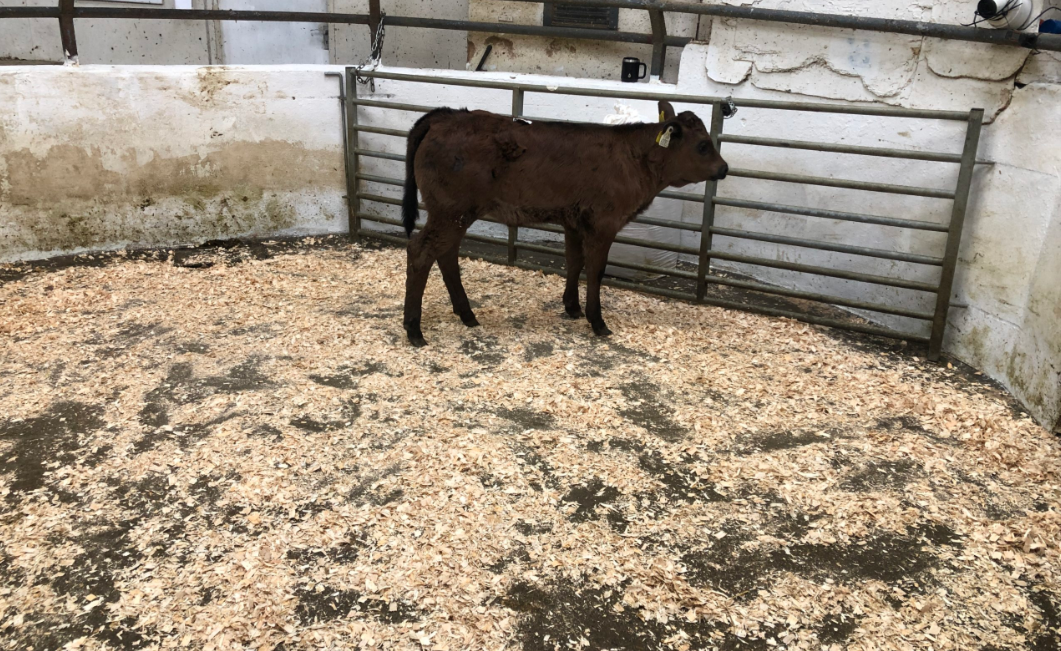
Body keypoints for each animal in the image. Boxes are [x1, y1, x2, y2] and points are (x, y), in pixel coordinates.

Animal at [399, 99, 728, 347]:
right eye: (703, 145)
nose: (724, 168)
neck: (635, 159)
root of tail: (446, 116)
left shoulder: (574, 221)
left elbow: (574, 261)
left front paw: (572, 307)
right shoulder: (604, 222)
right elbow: (595, 270)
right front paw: (597, 321)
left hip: (455, 214)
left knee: (446, 255)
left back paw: (466, 314)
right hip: (450, 211)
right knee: (420, 251)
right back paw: (414, 329)